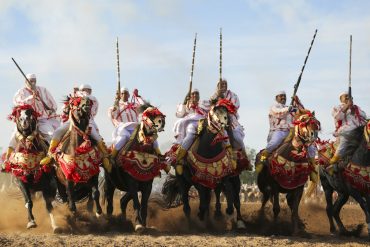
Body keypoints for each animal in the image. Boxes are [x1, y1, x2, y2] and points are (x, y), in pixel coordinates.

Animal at [104, 104, 168, 232]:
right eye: (151, 114)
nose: (162, 122)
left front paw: (143, 224)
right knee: (109, 204)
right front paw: (138, 224)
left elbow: (143, 205)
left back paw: (123, 221)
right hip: (110, 183)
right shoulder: (132, 182)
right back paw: (111, 222)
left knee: (123, 201)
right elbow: (136, 204)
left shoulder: (147, 185)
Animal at [163, 98, 238, 228]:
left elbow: (228, 191)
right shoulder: (199, 181)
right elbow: (202, 204)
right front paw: (201, 214)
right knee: (187, 207)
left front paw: (225, 211)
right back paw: (192, 224)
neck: (209, 149)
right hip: (183, 182)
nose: (224, 122)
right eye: (215, 111)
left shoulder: (221, 176)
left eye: (226, 111)